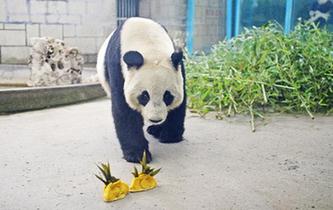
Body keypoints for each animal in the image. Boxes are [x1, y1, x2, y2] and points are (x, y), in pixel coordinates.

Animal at [96, 17, 185, 163]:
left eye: (167, 96)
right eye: (144, 96)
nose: (155, 119)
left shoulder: (177, 65)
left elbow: (179, 105)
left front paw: (170, 136)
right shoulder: (118, 67)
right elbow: (125, 109)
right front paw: (137, 154)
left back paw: (154, 130)